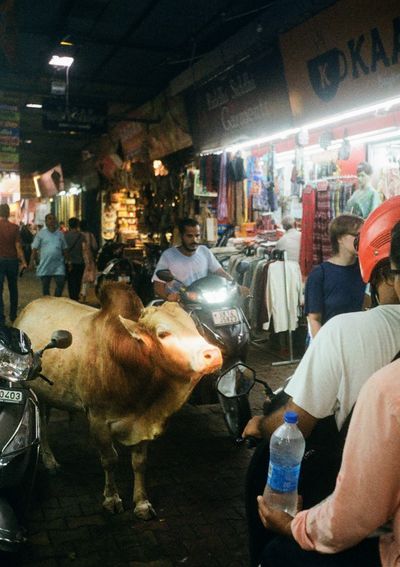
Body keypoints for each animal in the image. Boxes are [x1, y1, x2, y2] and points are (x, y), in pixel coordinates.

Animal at [15, 284, 222, 520]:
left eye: (193, 326)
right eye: (163, 334)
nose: (213, 354)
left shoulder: (143, 421)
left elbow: (139, 463)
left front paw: (142, 503)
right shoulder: (98, 420)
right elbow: (109, 460)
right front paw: (111, 499)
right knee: (41, 421)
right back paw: (50, 461)